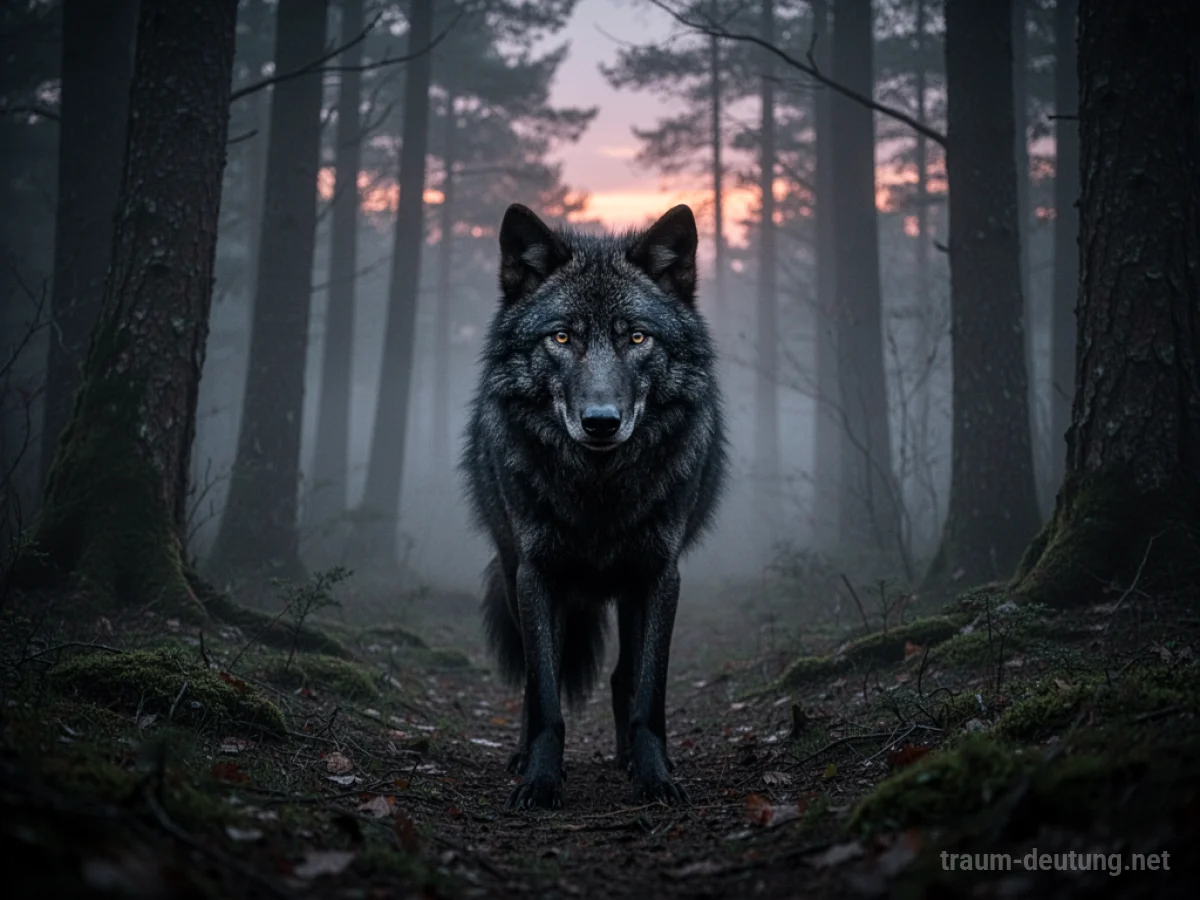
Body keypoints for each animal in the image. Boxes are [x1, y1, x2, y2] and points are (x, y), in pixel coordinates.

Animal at [461, 202, 727, 810]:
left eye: (636, 337)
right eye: (562, 337)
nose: (601, 421)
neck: (598, 493)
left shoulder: (659, 576)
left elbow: (647, 691)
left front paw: (654, 776)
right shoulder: (535, 574)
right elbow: (545, 692)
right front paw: (539, 779)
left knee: (622, 677)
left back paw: (631, 760)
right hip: (512, 573)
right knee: (538, 678)